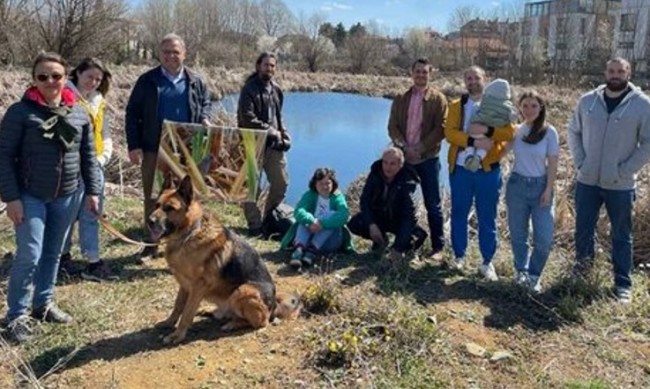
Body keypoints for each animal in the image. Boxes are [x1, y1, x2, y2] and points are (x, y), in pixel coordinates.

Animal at [148, 175, 300, 342]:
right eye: (157, 205)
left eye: (170, 208)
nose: (149, 221)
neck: (189, 234)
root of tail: (274, 306)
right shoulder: (185, 284)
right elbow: (178, 306)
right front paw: (168, 323)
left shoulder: (198, 286)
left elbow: (187, 312)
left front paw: (177, 335)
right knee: (226, 313)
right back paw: (214, 311)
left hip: (243, 290)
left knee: (261, 322)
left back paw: (233, 324)